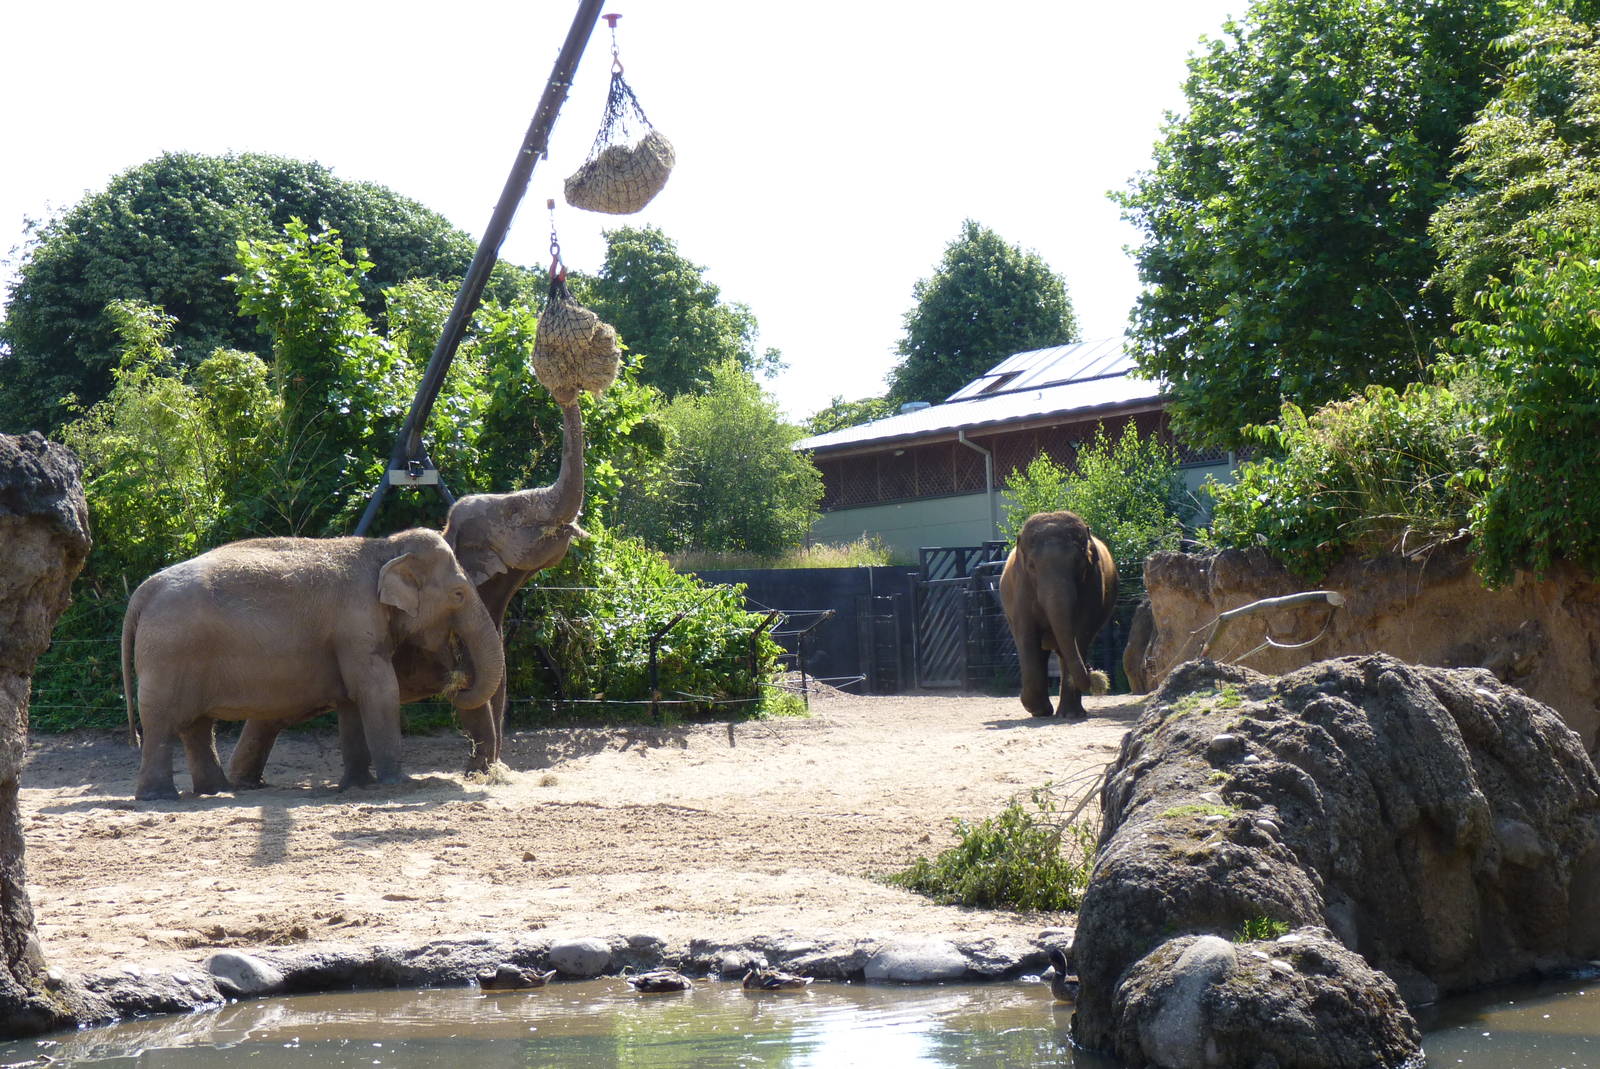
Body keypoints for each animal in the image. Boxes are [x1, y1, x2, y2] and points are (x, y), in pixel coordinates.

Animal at [121, 527, 506, 800]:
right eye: (458, 594)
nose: (457, 679)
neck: (383, 547)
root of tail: (143, 591)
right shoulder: (356, 624)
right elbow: (378, 691)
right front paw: (397, 784)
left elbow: (352, 700)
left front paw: (357, 786)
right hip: (168, 655)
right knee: (161, 722)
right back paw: (160, 798)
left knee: (197, 726)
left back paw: (216, 791)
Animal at [999, 510, 1118, 719]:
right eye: (1032, 566)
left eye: (1079, 563)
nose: (1093, 672)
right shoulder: (1021, 589)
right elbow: (1027, 636)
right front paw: (1037, 710)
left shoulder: (1093, 582)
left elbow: (1080, 631)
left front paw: (1069, 715)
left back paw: (1067, 713)